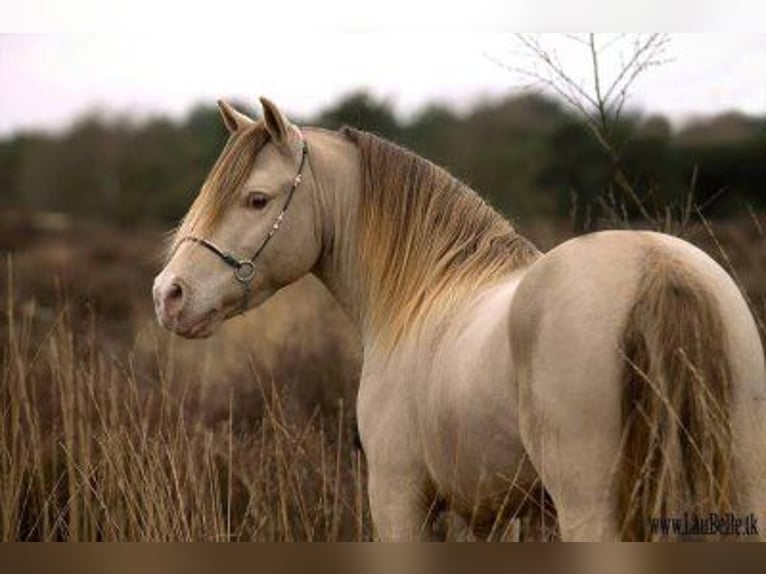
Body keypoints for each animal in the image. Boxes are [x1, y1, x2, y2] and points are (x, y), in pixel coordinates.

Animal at [154, 97, 766, 544]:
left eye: (257, 199)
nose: (169, 294)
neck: (422, 294)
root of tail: (657, 265)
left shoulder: (399, 500)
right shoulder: (495, 513)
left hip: (590, 507)